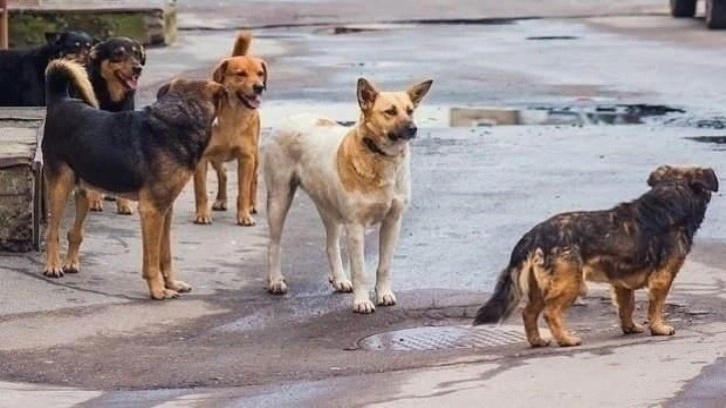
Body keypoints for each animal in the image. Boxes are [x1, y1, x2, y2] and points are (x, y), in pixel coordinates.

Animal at [42, 58, 225, 300]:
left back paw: (71, 262)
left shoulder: (165, 209)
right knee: (52, 232)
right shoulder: (151, 210)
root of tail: (60, 100)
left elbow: (165, 254)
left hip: (84, 191)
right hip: (60, 186)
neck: (180, 116)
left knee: (75, 231)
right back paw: (53, 266)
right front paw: (158, 290)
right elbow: (152, 260)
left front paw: (171, 283)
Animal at [83, 37, 148, 215]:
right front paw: (94, 200)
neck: (112, 99)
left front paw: (124, 203)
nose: (138, 68)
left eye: (137, 54)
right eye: (119, 53)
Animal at [195, 31, 268, 226]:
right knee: (224, 174)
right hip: (216, 158)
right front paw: (202, 214)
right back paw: (221, 200)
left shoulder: (246, 158)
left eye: (260, 74)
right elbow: (201, 191)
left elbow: (243, 191)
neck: (233, 117)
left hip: (255, 156)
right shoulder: (201, 158)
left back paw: (252, 204)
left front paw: (244, 215)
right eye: (240, 74)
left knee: (254, 180)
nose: (259, 87)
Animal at [262, 77, 432, 312]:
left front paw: (383, 294)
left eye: (410, 111)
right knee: (274, 244)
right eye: (390, 111)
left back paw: (339, 279)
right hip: (279, 199)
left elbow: (384, 266)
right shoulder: (355, 227)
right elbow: (360, 271)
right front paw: (362, 301)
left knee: (331, 245)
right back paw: (275, 280)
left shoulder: (392, 222)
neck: (379, 157)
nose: (413, 128)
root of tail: (289, 118)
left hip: (329, 209)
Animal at [474, 165, 720, 348]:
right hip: (570, 284)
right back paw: (566, 339)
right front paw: (658, 328)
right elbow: (656, 306)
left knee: (528, 313)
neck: (670, 196)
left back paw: (537, 341)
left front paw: (630, 328)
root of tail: (533, 235)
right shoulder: (663, 277)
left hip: (540, 288)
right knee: (550, 313)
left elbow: (627, 307)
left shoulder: (622, 283)